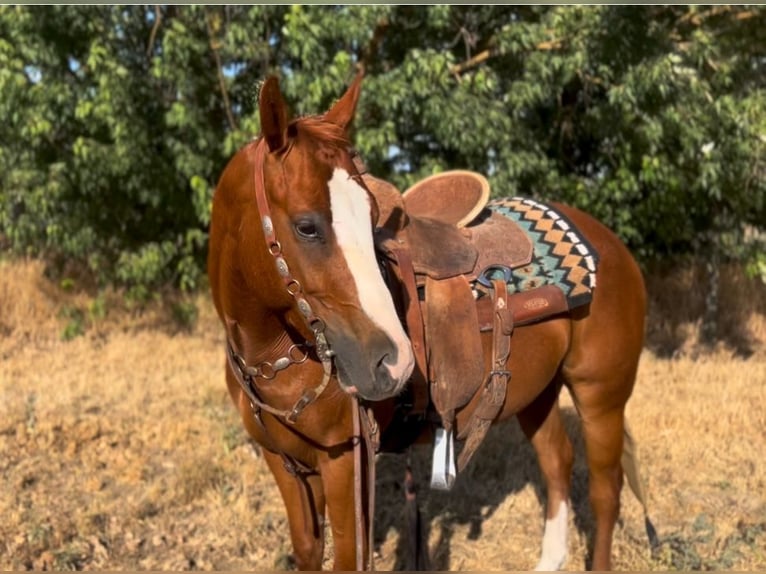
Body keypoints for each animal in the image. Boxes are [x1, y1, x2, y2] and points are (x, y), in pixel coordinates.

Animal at [207, 69, 652, 571]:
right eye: (306, 225)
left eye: (372, 216)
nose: (393, 363)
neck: (278, 356)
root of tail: (610, 243)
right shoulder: (283, 463)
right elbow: (307, 548)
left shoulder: (346, 465)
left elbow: (346, 556)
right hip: (538, 391)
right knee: (557, 460)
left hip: (601, 396)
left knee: (605, 489)